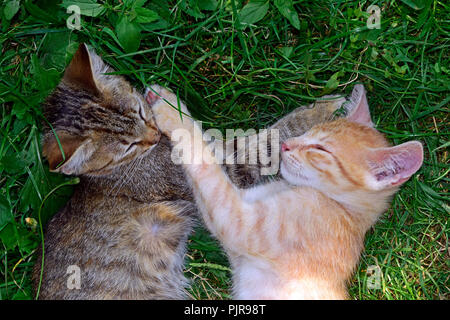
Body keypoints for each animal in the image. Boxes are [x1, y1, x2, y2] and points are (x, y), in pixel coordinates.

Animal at [32, 43, 348, 298]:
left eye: (140, 112)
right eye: (127, 146)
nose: (153, 135)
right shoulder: (225, 169)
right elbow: (265, 141)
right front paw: (323, 111)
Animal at [150, 84, 422, 298]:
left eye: (321, 149)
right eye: (308, 132)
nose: (286, 145)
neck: (344, 210)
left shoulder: (236, 218)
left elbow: (203, 157)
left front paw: (171, 110)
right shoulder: (243, 201)